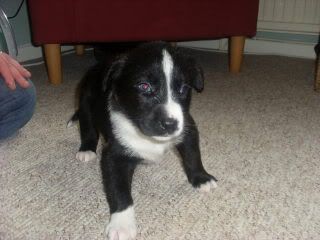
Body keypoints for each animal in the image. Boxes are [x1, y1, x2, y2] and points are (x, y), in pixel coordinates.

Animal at [70, 42, 218, 239]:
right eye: (144, 86)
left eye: (183, 89)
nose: (170, 124)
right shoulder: (114, 156)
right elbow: (119, 190)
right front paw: (122, 224)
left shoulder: (187, 128)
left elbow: (193, 156)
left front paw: (201, 178)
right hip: (85, 101)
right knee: (87, 127)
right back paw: (86, 149)